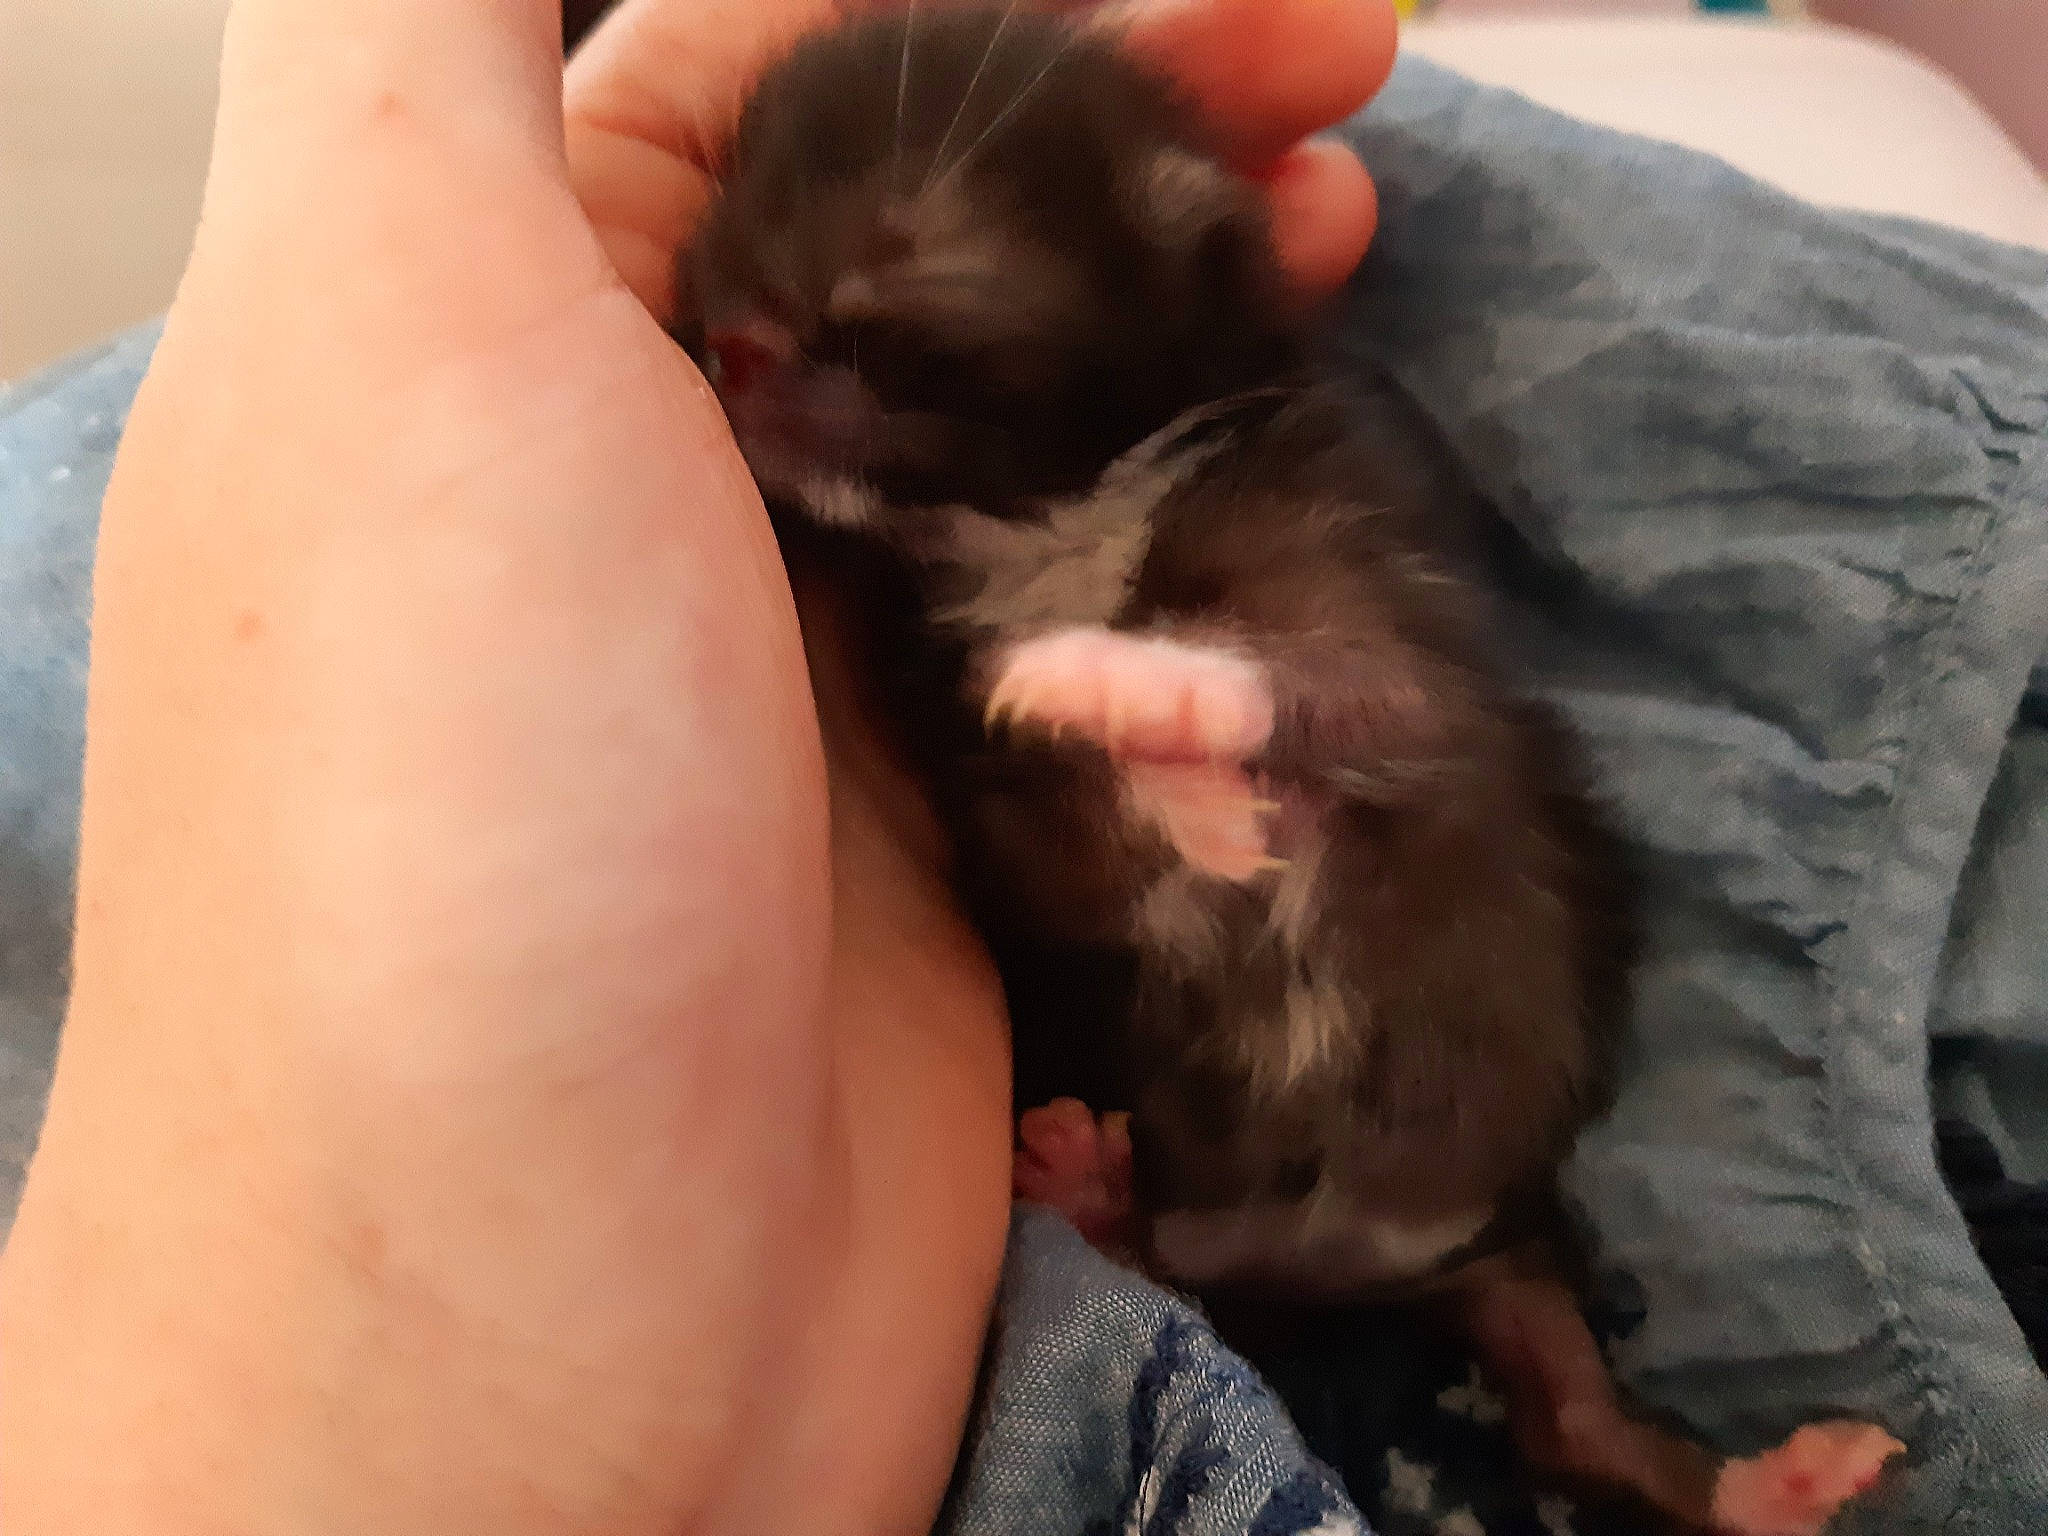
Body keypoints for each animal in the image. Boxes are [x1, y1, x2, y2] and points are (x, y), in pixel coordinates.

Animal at [678, 9, 1904, 1532]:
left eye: (903, 257)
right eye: (715, 253)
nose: (721, 347)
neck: (1052, 524)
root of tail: (1351, 1241)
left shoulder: (1396, 653)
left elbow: (1322, 690)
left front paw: (1149, 692)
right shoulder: (999, 788)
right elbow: (1079, 857)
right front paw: (1165, 776)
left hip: (1497, 1234)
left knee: (1567, 1417)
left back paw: (1772, 1487)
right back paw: (1094, 1193)